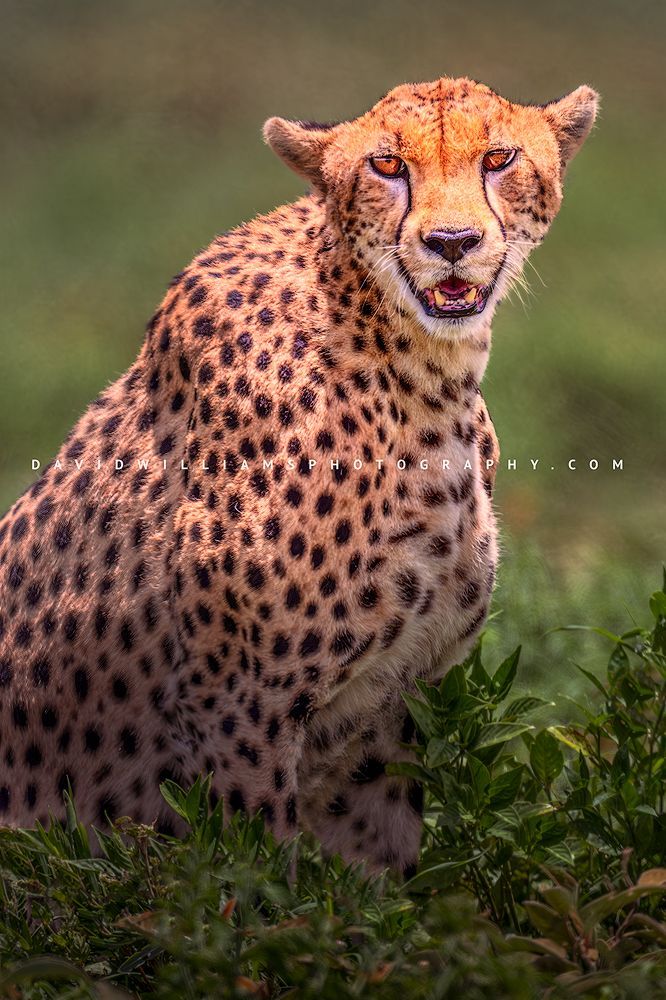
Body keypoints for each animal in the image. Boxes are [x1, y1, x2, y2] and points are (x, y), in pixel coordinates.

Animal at [0, 77, 598, 876]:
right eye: (386, 165)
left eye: (499, 158)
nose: (452, 244)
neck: (422, 372)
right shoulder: (240, 708)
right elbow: (262, 879)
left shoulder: (387, 714)